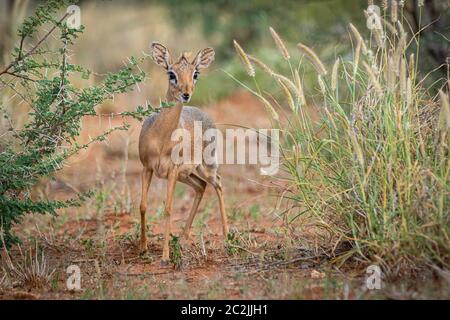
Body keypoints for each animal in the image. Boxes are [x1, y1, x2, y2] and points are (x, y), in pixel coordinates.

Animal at [138, 42, 229, 262]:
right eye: (171, 73)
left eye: (196, 73)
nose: (186, 93)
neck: (161, 138)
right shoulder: (147, 168)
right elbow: (143, 206)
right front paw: (143, 248)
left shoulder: (171, 171)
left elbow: (168, 209)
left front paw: (164, 255)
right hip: (187, 174)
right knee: (201, 187)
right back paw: (183, 237)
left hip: (205, 167)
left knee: (218, 184)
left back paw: (227, 235)